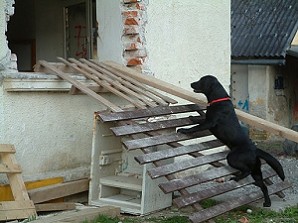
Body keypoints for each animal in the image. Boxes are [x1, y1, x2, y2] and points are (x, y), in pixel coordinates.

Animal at [178, 75, 286, 207]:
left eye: (201, 81)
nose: (191, 83)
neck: (218, 99)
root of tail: (255, 150)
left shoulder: (210, 122)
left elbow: (196, 127)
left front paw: (184, 130)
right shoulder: (207, 119)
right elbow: (200, 119)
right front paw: (192, 117)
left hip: (233, 158)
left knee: (246, 171)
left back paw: (237, 178)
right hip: (256, 171)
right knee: (263, 186)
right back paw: (267, 202)